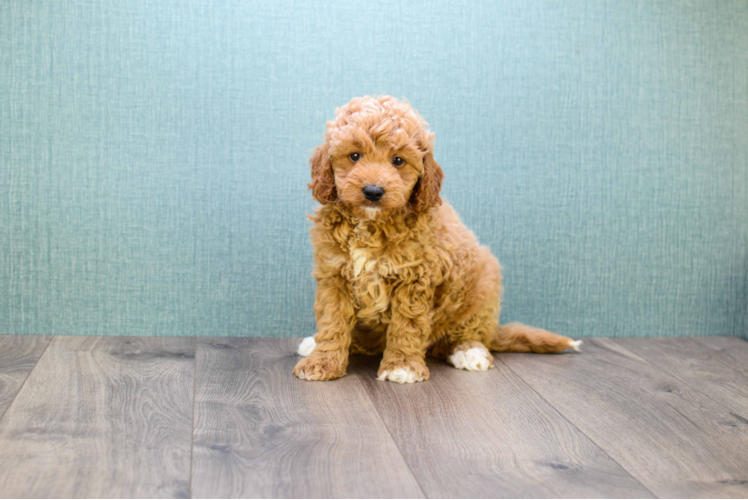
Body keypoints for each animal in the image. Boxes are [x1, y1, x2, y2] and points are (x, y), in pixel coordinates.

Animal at [292, 95, 580, 384]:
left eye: (398, 161)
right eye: (354, 156)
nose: (373, 191)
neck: (372, 223)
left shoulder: (414, 278)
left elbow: (407, 323)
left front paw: (402, 366)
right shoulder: (334, 276)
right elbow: (333, 322)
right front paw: (323, 362)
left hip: (483, 287)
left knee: (466, 332)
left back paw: (470, 350)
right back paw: (314, 343)